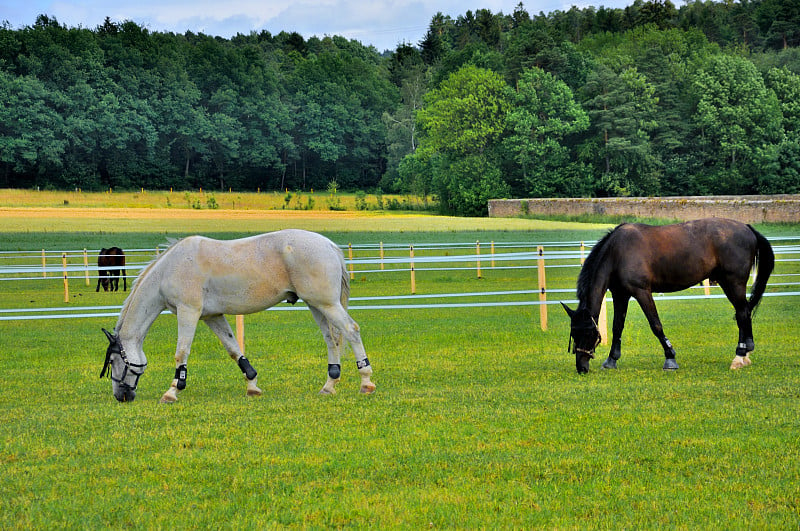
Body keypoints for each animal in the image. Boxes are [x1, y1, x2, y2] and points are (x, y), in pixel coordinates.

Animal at [100, 230, 376, 404]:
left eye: (114, 361)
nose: (121, 396)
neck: (171, 268)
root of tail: (329, 246)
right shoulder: (212, 316)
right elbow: (234, 350)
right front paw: (252, 385)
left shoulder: (189, 313)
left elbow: (181, 353)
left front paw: (171, 392)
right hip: (316, 305)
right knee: (332, 340)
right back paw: (329, 386)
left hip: (326, 304)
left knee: (351, 330)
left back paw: (366, 382)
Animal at [564, 219, 776, 374]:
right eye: (573, 333)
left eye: (587, 333)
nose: (581, 368)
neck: (618, 252)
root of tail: (747, 228)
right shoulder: (620, 294)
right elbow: (617, 326)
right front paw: (611, 359)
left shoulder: (641, 291)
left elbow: (655, 325)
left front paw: (670, 357)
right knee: (744, 312)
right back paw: (746, 352)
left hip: (733, 283)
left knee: (742, 313)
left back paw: (739, 356)